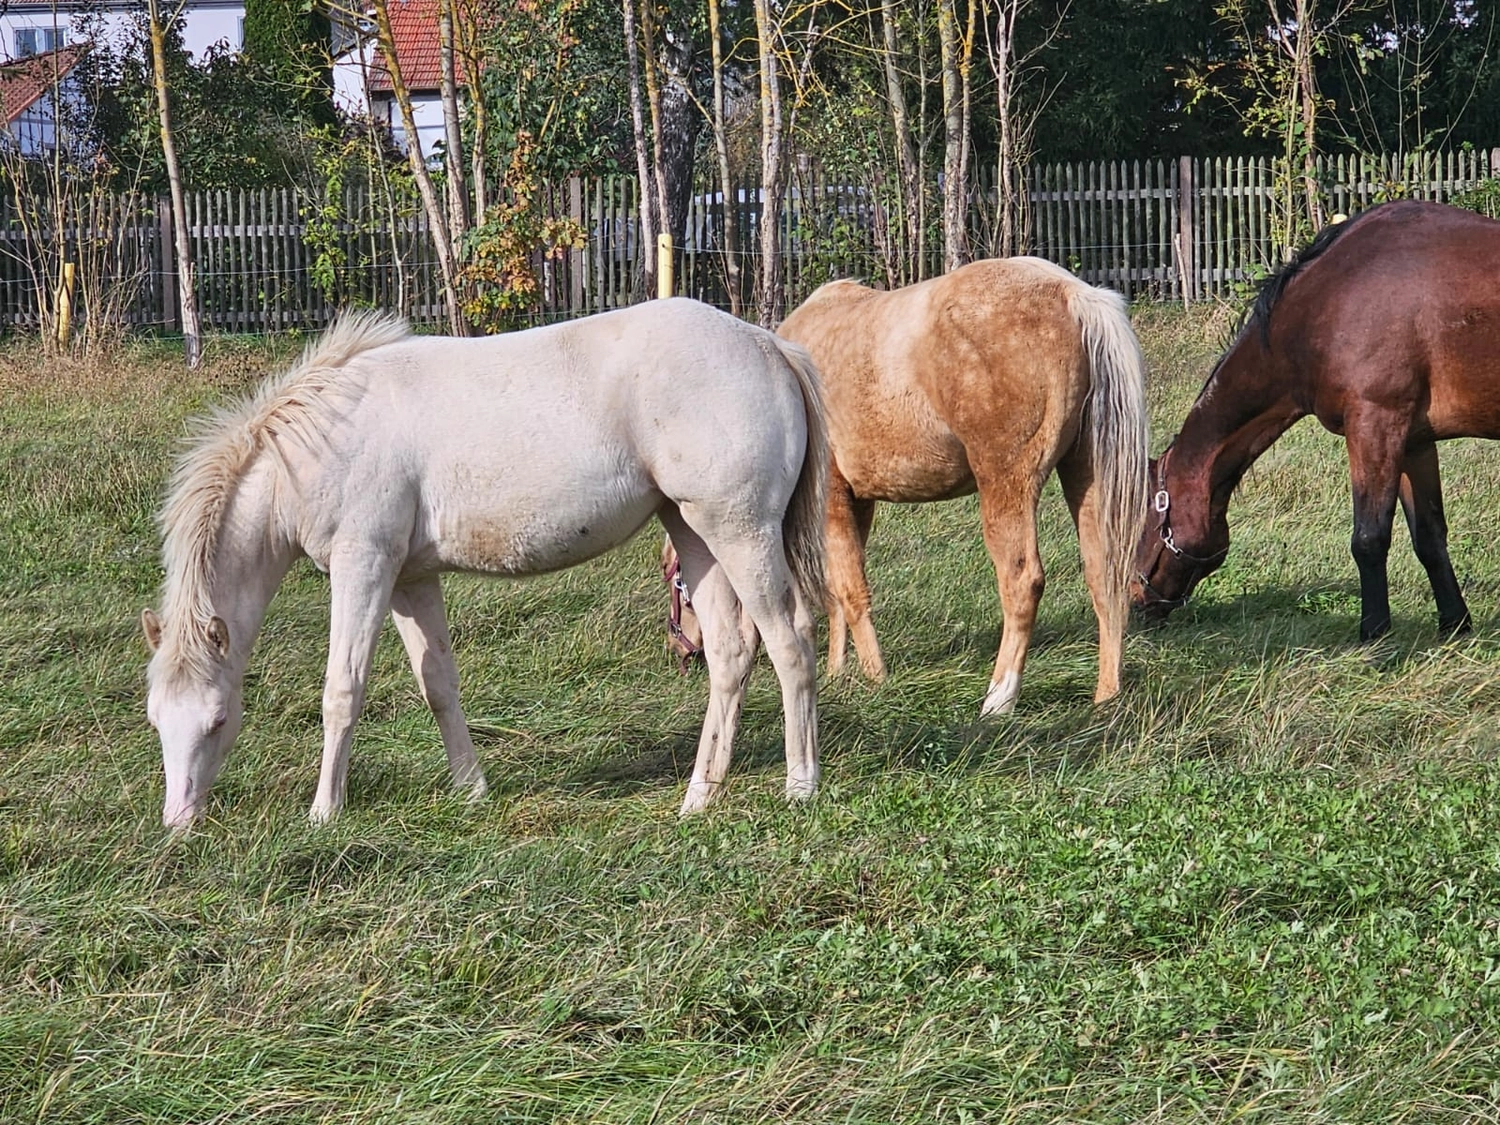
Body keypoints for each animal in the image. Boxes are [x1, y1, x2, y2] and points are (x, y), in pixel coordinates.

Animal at [141, 300, 829, 828]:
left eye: (218, 719)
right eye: (156, 720)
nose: (178, 823)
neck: (324, 442)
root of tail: (770, 346)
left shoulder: (364, 567)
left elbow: (342, 689)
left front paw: (323, 813)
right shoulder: (410, 579)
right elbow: (438, 684)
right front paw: (471, 790)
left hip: (739, 532)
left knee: (790, 642)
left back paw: (800, 786)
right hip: (692, 532)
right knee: (731, 653)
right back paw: (699, 797)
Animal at [777, 256, 1150, 715]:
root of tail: (1071, 293)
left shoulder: (832, 499)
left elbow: (849, 590)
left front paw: (875, 680)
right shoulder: (857, 502)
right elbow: (839, 590)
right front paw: (837, 674)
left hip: (1006, 484)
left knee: (1022, 582)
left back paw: (998, 699)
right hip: (1087, 476)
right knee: (1105, 576)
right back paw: (1106, 698)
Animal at [1132, 200, 1500, 640]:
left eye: (1141, 521)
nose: (1134, 601)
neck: (1330, 298)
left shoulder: (1374, 424)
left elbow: (1369, 538)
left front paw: (1374, 635)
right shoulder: (1413, 440)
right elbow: (1429, 536)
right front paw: (1455, 626)